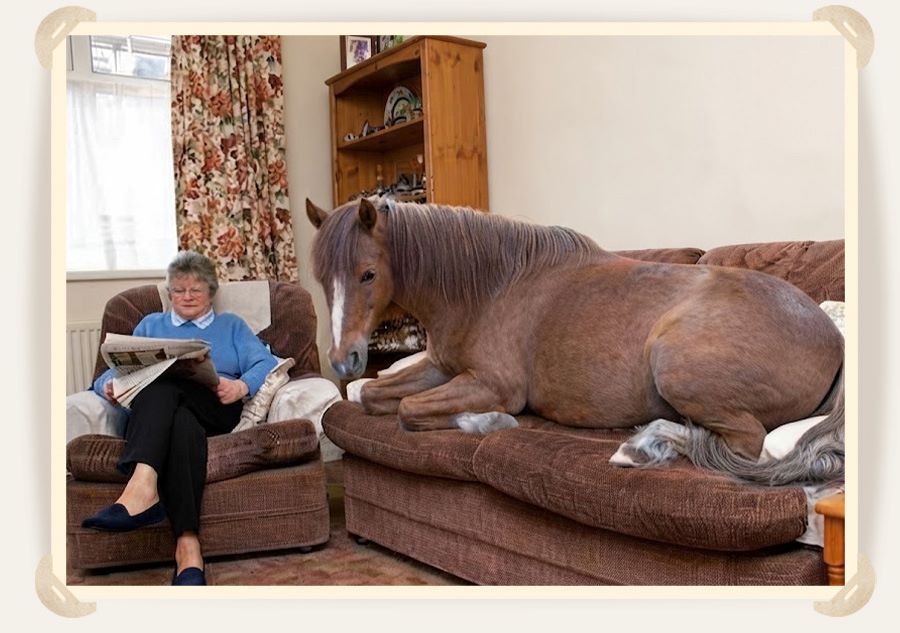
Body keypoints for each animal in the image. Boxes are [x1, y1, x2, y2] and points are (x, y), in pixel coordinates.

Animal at [305, 196, 845, 486]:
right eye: (321, 277)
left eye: (368, 273)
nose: (344, 359)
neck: (490, 286)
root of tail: (834, 336)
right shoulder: (441, 367)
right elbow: (374, 396)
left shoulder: (492, 385)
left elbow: (408, 411)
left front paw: (488, 423)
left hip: (674, 365)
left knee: (743, 446)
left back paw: (636, 451)